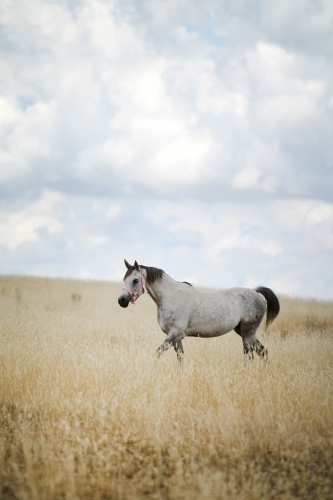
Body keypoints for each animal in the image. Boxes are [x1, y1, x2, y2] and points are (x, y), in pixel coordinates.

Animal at [118, 258, 278, 364]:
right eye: (125, 279)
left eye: (135, 280)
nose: (122, 301)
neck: (169, 296)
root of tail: (256, 292)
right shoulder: (176, 338)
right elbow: (181, 359)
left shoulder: (174, 334)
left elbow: (158, 352)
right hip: (244, 332)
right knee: (263, 352)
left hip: (247, 333)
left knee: (249, 356)